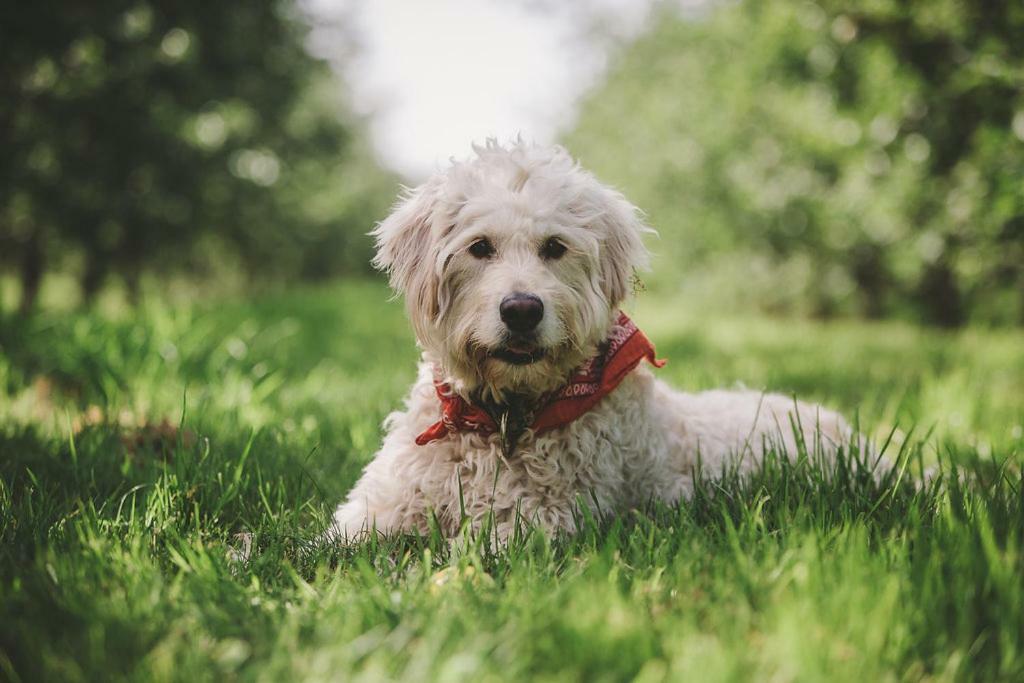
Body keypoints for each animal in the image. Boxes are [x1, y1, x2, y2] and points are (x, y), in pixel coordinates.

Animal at [331, 140, 851, 544]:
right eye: (479, 247)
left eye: (555, 247)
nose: (522, 310)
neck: (502, 418)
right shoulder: (378, 505)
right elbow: (332, 544)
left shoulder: (540, 519)